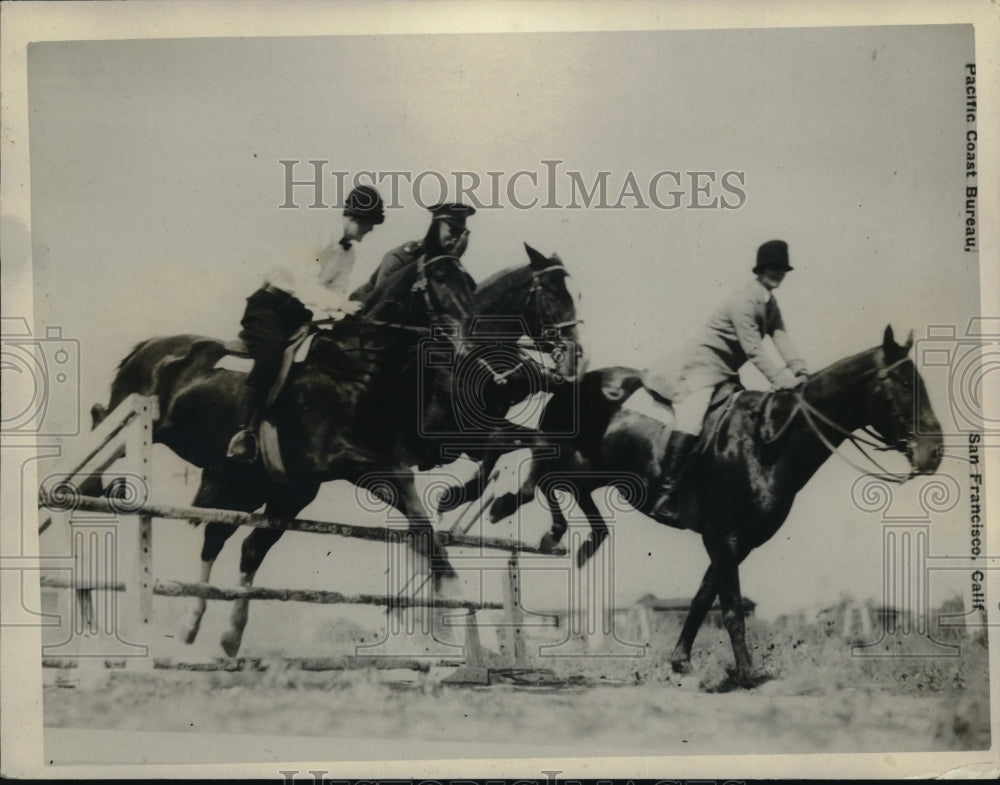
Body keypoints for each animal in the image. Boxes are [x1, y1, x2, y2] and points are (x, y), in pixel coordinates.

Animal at [82, 256, 476, 656]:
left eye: (470, 285)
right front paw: (452, 593)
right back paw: (97, 488)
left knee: (217, 538)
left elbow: (254, 549)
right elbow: (411, 497)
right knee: (99, 427)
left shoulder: (300, 488)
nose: (467, 340)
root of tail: (151, 345)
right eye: (440, 279)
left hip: (247, 488)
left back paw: (195, 625)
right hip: (139, 417)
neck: (349, 371)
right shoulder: (349, 459)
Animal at [488, 326, 940, 688]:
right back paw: (525, 518)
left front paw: (681, 661)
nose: (934, 453)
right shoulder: (725, 538)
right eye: (904, 384)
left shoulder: (735, 544)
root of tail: (573, 380)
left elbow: (704, 598)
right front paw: (748, 674)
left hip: (595, 472)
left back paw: (587, 540)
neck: (769, 443)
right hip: (568, 457)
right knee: (538, 478)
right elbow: (732, 609)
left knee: (560, 488)